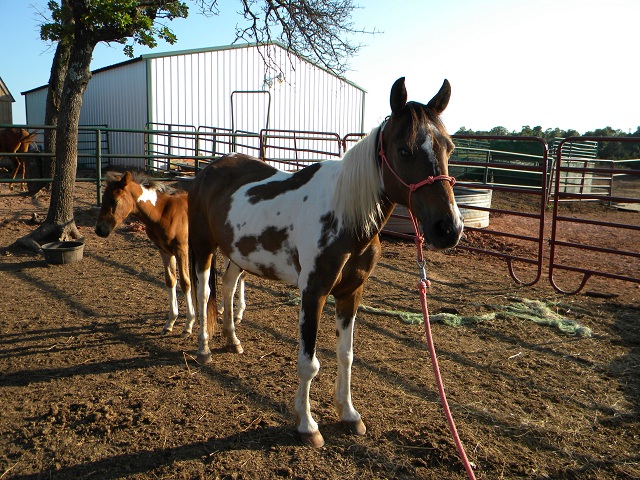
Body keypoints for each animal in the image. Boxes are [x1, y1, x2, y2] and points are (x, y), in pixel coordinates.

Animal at [94, 173, 246, 338]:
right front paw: (170, 323)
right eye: (103, 198)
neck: (163, 212)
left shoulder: (181, 249)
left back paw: (238, 314)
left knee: (241, 275)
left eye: (115, 201)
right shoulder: (164, 251)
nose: (99, 230)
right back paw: (222, 308)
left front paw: (189, 324)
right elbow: (170, 280)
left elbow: (185, 283)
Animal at [188, 77, 462, 448]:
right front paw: (307, 425)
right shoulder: (313, 292)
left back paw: (233, 341)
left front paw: (349, 414)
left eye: (449, 147)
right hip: (203, 246)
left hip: (237, 253)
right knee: (204, 294)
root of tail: (210, 169)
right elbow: (308, 363)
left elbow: (346, 356)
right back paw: (204, 350)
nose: (449, 229)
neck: (345, 215)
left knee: (229, 288)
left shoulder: (351, 293)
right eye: (404, 150)